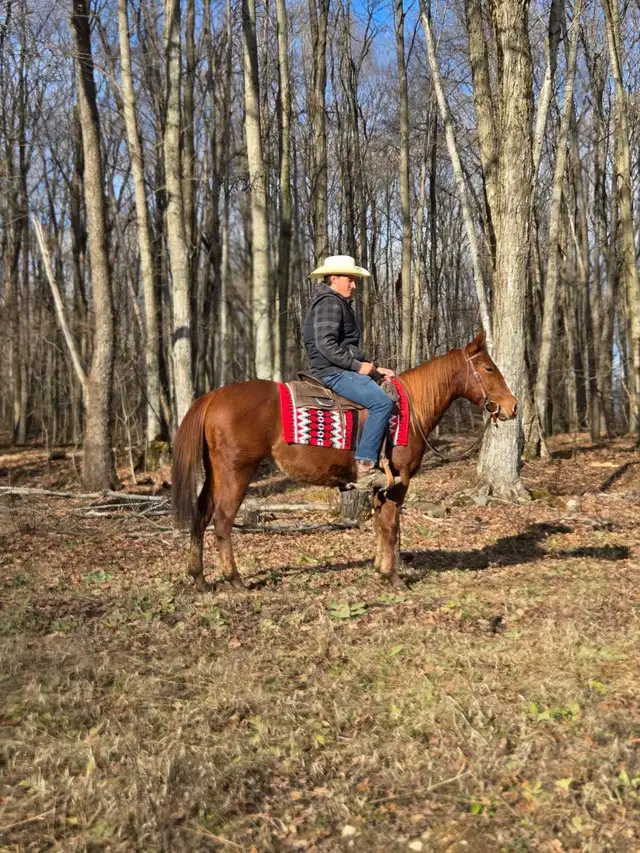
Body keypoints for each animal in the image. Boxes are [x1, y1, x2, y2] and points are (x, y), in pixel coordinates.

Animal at [172, 331, 517, 591]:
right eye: (489, 369)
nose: (512, 407)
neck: (409, 409)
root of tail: (213, 396)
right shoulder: (399, 483)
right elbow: (391, 527)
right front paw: (393, 577)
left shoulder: (382, 486)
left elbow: (380, 525)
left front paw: (380, 569)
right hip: (237, 472)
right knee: (222, 520)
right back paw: (235, 579)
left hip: (215, 473)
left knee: (201, 515)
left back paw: (199, 578)